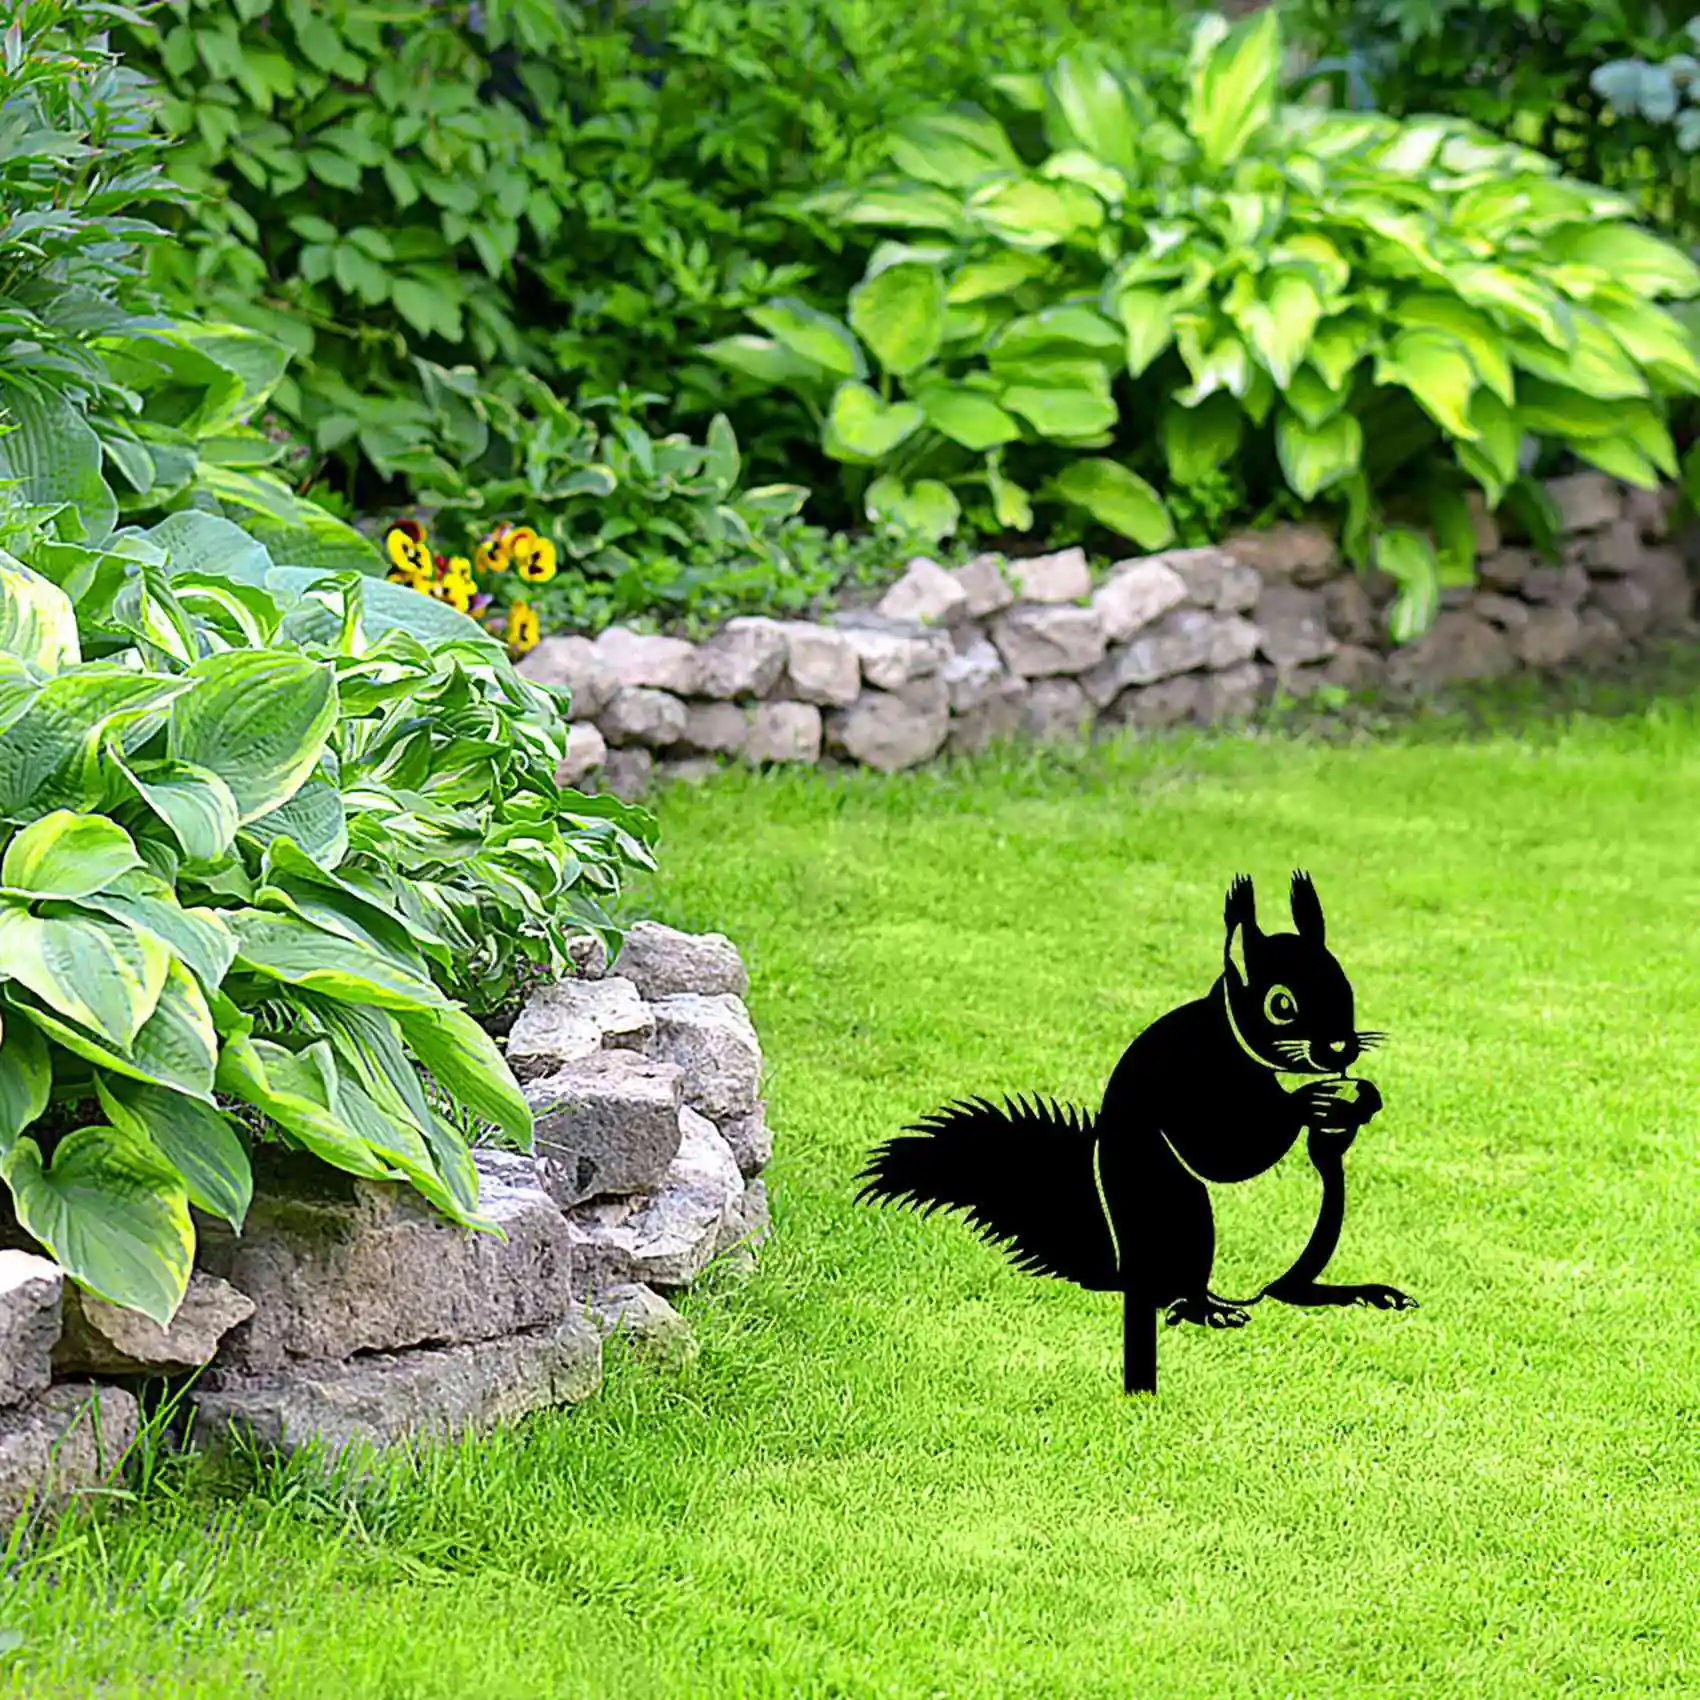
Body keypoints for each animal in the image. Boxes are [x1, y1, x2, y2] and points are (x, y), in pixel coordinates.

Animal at [855, 871, 1416, 1395]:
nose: (1340, 1048)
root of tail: (1124, 1266)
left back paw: (1359, 1292)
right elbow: (1227, 1147)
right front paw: (1310, 1102)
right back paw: (1208, 1308)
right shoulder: (1189, 1079)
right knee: (1177, 1292)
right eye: (1281, 1005)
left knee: (1293, 1289)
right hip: (1180, 1216)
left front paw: (1360, 1100)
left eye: (1345, 985)